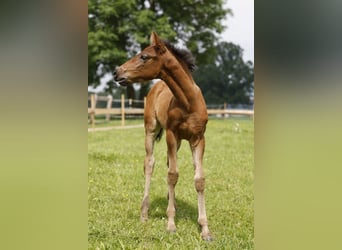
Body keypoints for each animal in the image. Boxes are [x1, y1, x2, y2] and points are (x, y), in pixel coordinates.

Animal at [114, 31, 211, 240]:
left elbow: (199, 179)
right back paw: (144, 213)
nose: (117, 72)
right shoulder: (171, 135)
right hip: (150, 130)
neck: (188, 102)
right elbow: (173, 175)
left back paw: (170, 201)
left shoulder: (198, 139)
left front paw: (205, 229)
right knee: (149, 164)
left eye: (144, 56)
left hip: (179, 141)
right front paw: (171, 224)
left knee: (167, 163)